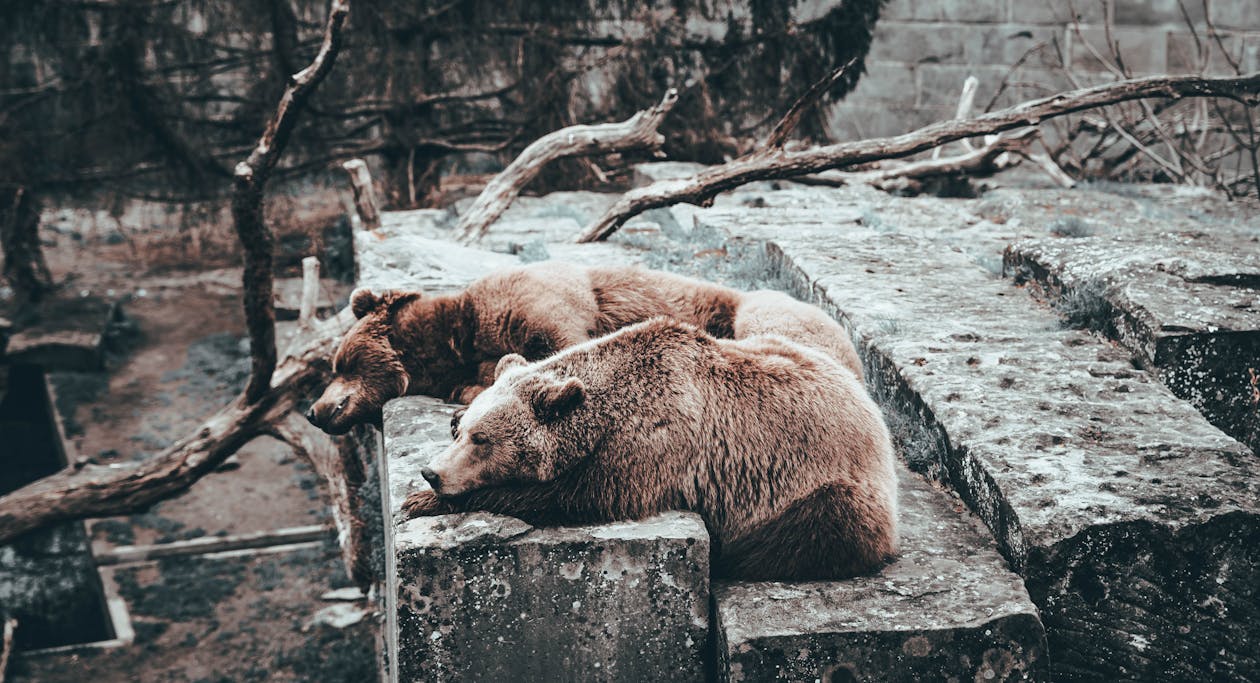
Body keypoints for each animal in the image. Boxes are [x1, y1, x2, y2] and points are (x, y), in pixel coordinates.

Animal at [403, 318, 897, 582]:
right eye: (462, 431)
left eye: (482, 440)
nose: (433, 473)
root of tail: (872, 410)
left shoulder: (653, 446)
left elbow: (574, 495)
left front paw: (421, 501)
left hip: (825, 486)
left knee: (812, 530)